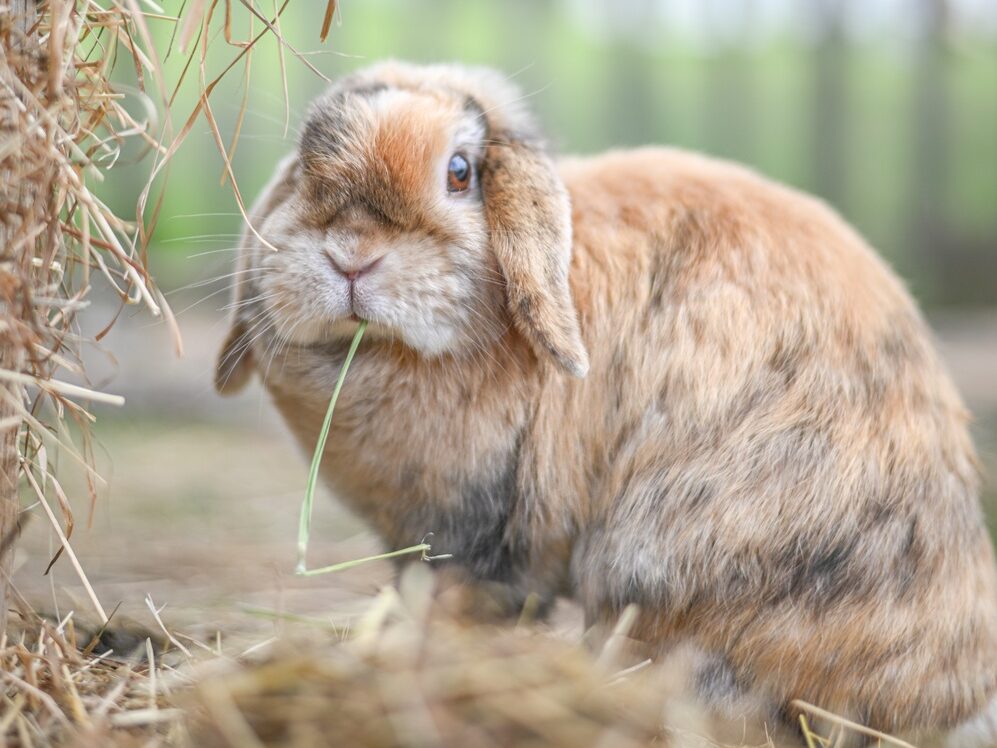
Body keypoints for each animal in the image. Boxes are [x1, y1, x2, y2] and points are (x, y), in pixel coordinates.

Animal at [215, 61, 997, 745]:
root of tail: (951, 695)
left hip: (655, 565)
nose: (351, 257)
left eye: (460, 172)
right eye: (305, 160)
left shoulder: (481, 539)